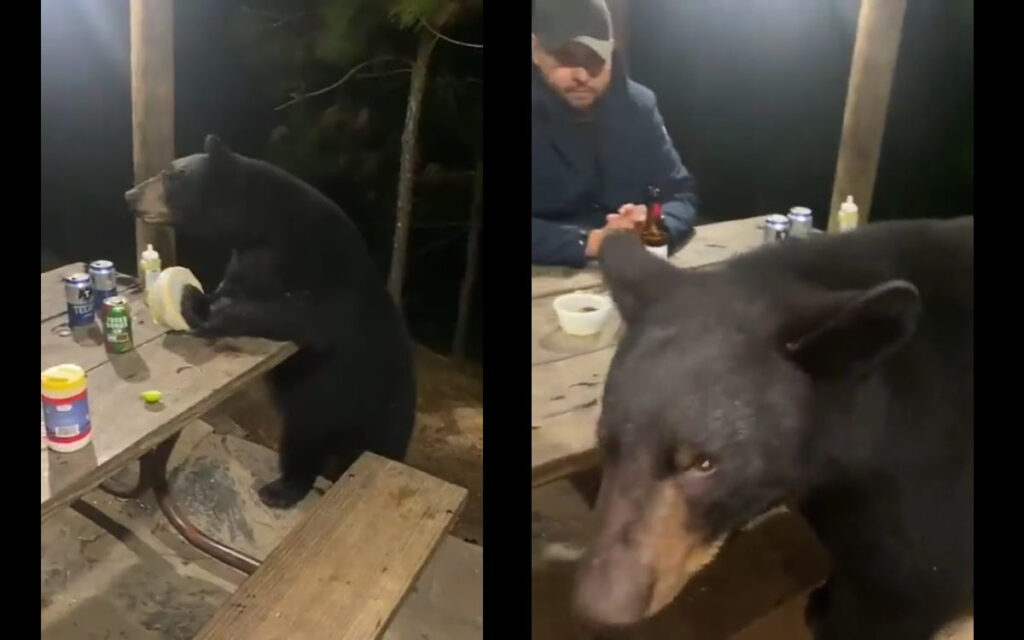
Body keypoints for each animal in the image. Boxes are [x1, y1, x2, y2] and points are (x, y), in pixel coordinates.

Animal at [125, 134, 417, 510]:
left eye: (170, 174)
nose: (130, 195)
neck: (262, 227)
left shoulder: (322, 269)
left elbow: (298, 314)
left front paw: (194, 302)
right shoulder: (247, 261)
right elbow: (232, 287)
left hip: (376, 412)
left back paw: (280, 489)